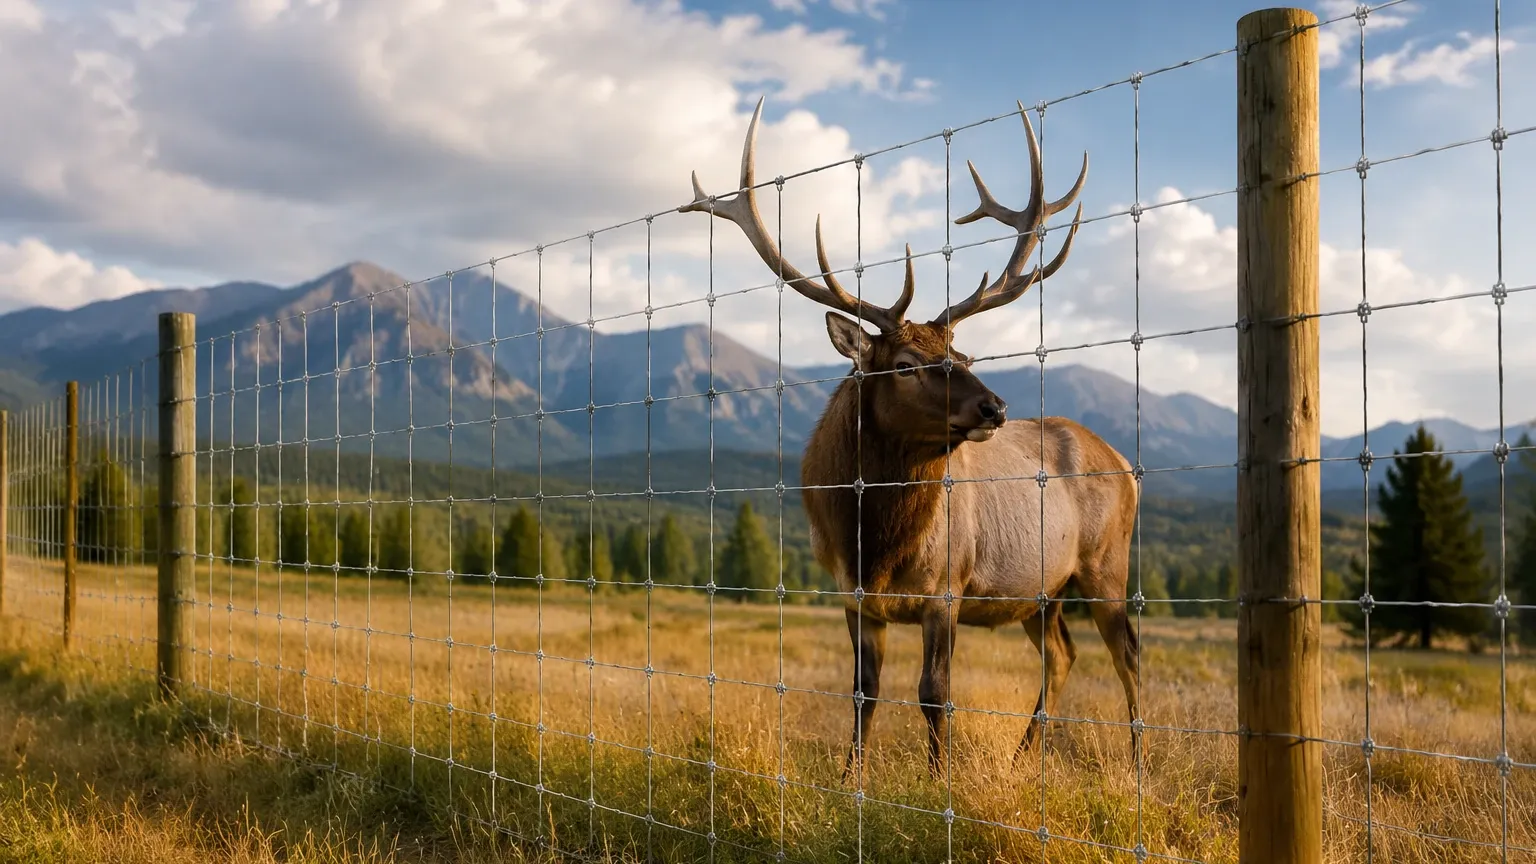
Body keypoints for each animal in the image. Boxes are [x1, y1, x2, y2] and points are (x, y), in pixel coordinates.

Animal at [679, 98, 1141, 780]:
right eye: (903, 364)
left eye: (961, 354)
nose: (995, 405)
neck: (875, 541)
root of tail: (1127, 464)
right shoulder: (850, 592)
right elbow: (863, 690)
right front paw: (850, 776)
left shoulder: (946, 587)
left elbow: (934, 693)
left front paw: (938, 779)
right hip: (1042, 589)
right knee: (1062, 655)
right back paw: (1023, 757)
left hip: (1107, 563)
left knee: (1126, 652)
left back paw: (1137, 760)